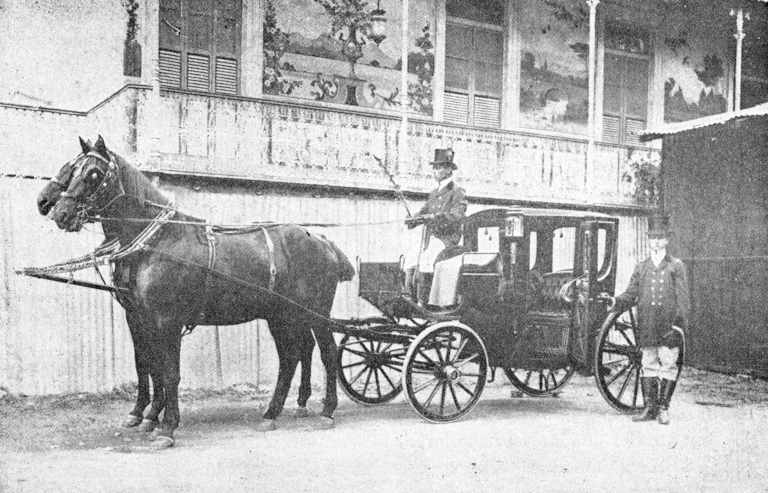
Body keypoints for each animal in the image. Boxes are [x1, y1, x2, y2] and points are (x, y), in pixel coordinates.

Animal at [49, 135, 356, 446]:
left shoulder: (167, 321)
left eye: (93, 174)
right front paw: (148, 417)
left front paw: (167, 427)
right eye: (73, 170)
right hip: (282, 315)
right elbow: (149, 365)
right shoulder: (141, 318)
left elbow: (169, 373)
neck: (158, 240)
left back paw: (326, 410)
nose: (59, 212)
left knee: (327, 352)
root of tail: (322, 239)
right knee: (292, 356)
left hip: (315, 313)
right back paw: (274, 412)